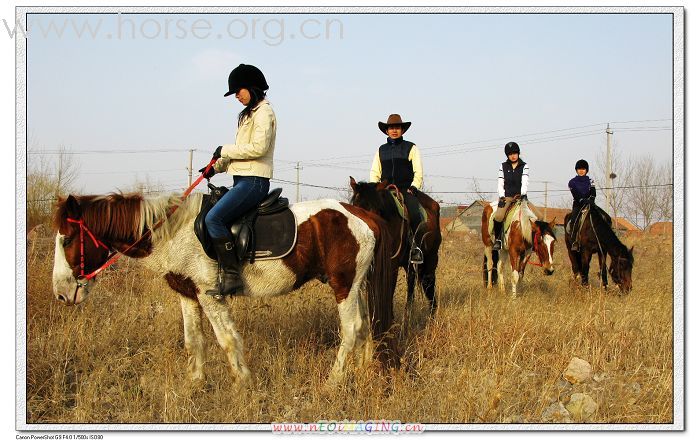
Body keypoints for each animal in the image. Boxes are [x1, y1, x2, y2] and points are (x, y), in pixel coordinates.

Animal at [50, 191, 400, 386]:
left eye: (67, 239)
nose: (62, 294)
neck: (174, 231)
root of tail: (361, 214)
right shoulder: (187, 293)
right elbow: (194, 341)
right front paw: (195, 384)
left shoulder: (210, 295)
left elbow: (227, 340)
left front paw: (243, 385)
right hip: (357, 285)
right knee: (365, 327)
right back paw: (363, 372)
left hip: (344, 285)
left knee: (351, 329)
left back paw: (333, 381)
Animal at [348, 179, 440, 314]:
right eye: (356, 209)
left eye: (377, 211)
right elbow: (373, 295)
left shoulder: (392, 266)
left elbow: (388, 294)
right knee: (411, 283)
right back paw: (408, 313)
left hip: (431, 259)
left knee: (429, 284)